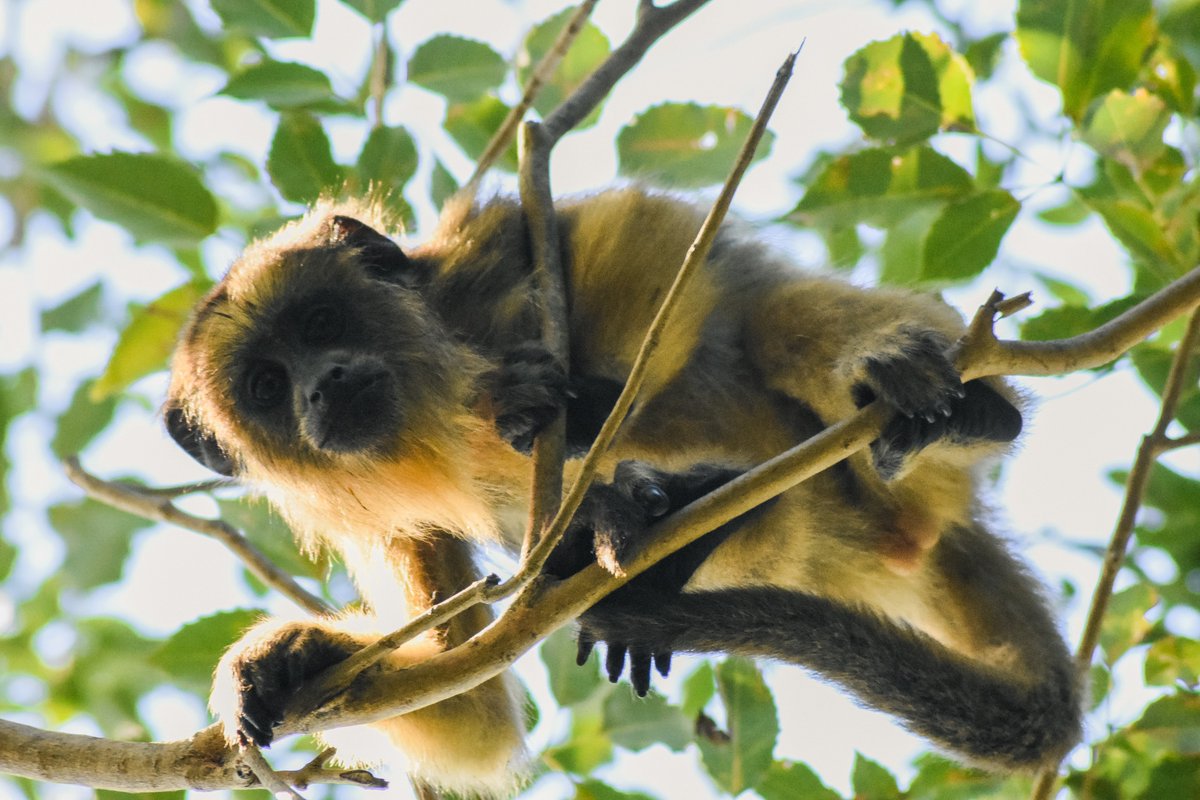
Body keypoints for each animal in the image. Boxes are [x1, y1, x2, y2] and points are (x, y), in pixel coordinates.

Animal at [164, 187, 1082, 795]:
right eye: (266, 386)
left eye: (321, 323)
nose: (322, 386)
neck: (429, 411)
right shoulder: (384, 527)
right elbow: (468, 705)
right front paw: (281, 658)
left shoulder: (471, 267)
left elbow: (637, 232)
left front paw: (580, 411)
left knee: (769, 315)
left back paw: (954, 406)